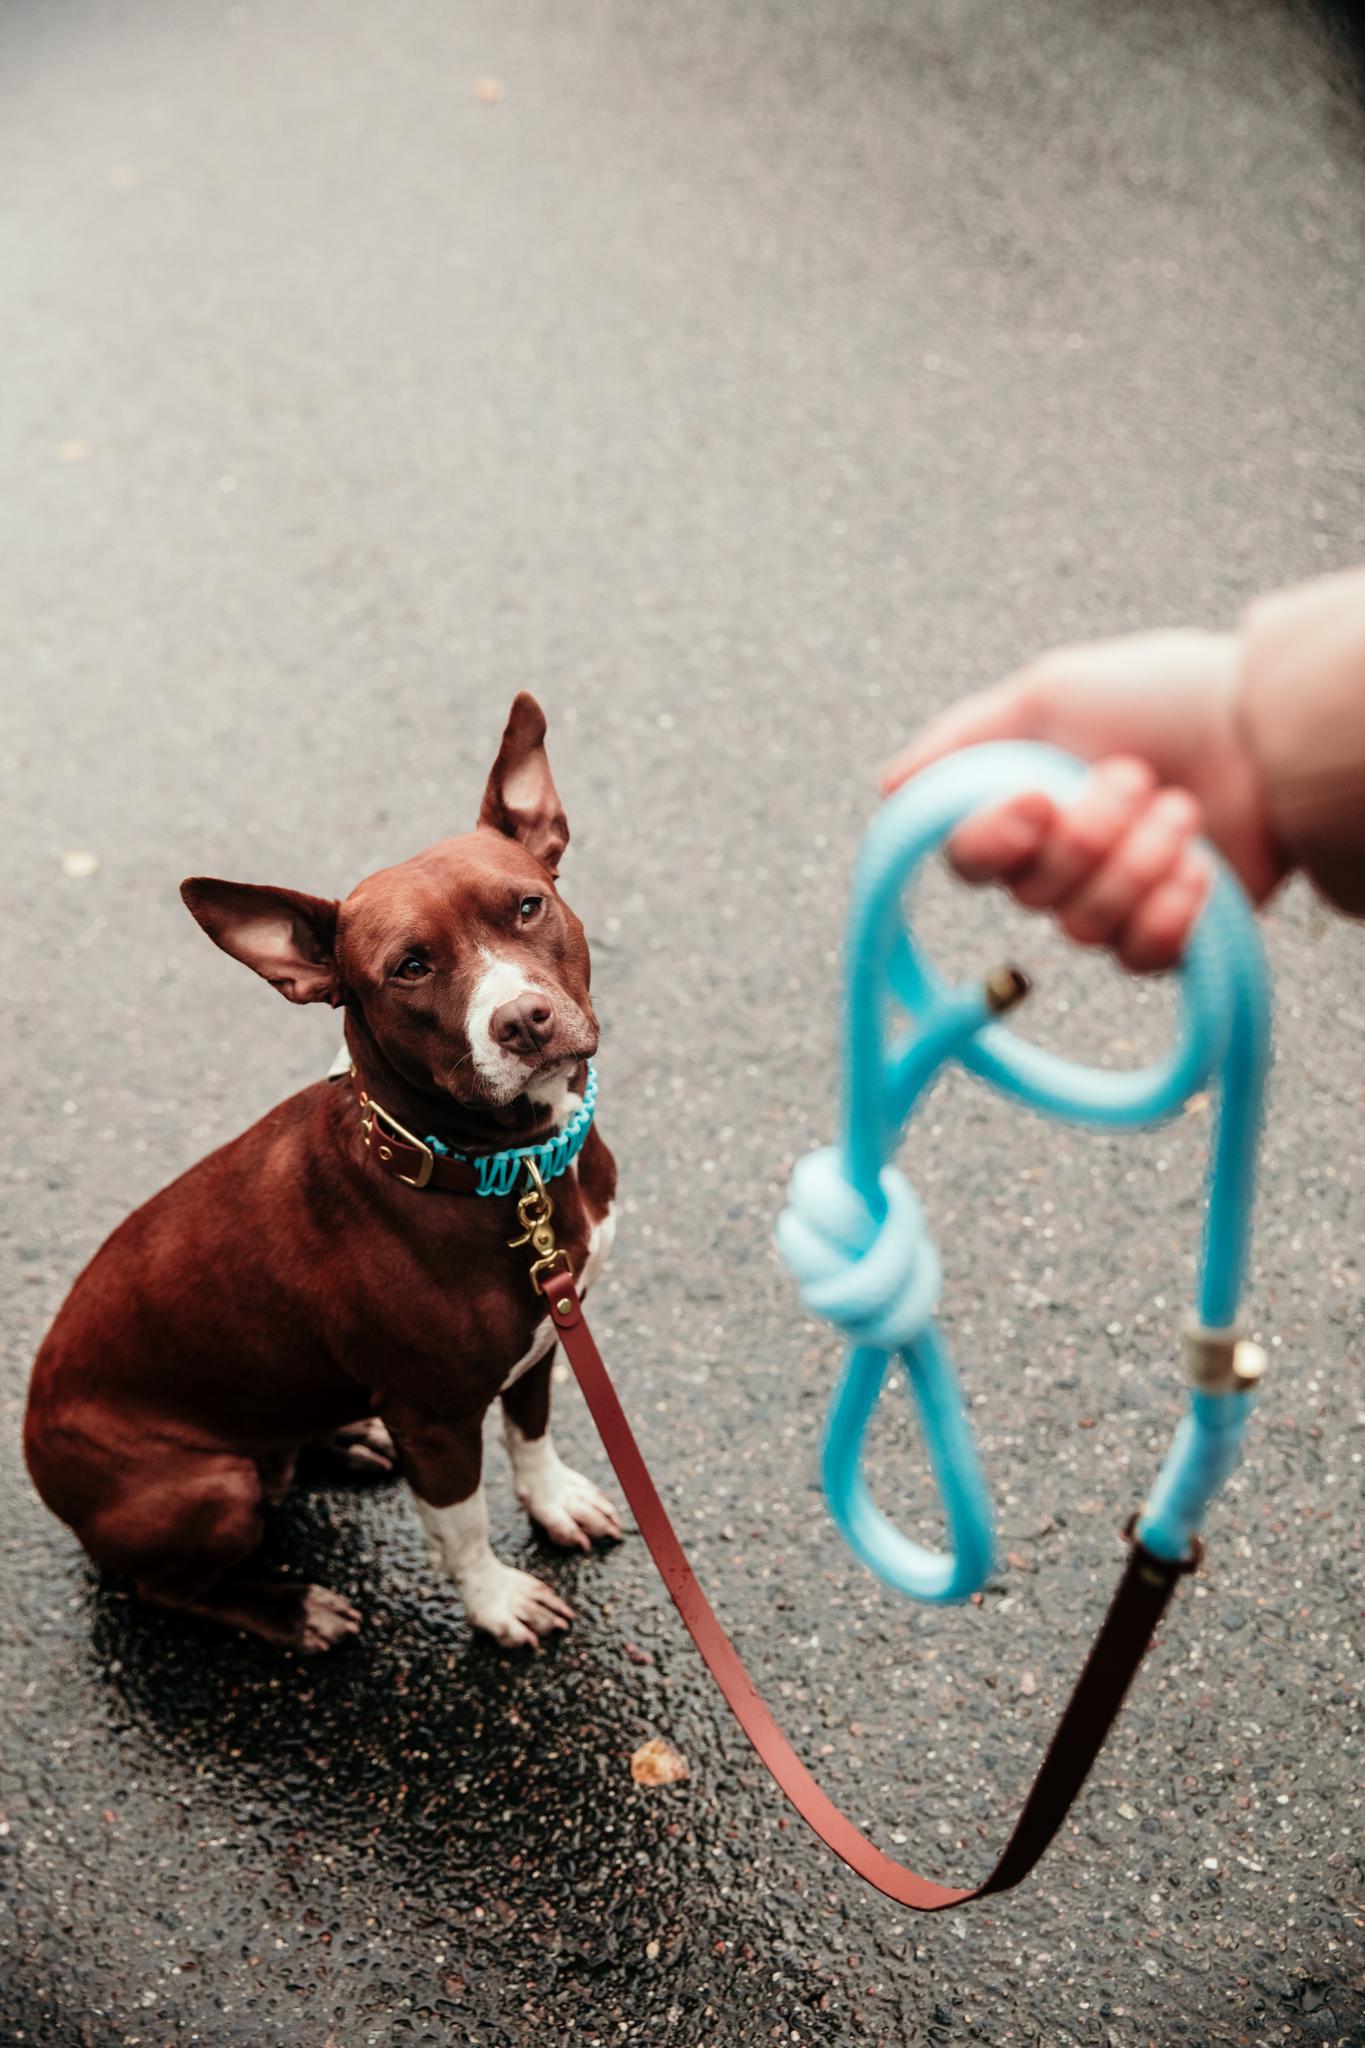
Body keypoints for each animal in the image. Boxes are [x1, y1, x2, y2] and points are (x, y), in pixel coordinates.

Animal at [24, 696, 622, 1654]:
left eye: (528, 906)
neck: (506, 1168)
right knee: (164, 1587)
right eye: (410, 968)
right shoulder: (436, 1419)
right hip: (207, 1491)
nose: (523, 1021)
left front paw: (553, 1500)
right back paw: (291, 1608)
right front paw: (495, 1601)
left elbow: (530, 1434)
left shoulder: (547, 1333)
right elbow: (461, 1525)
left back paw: (343, 1440)